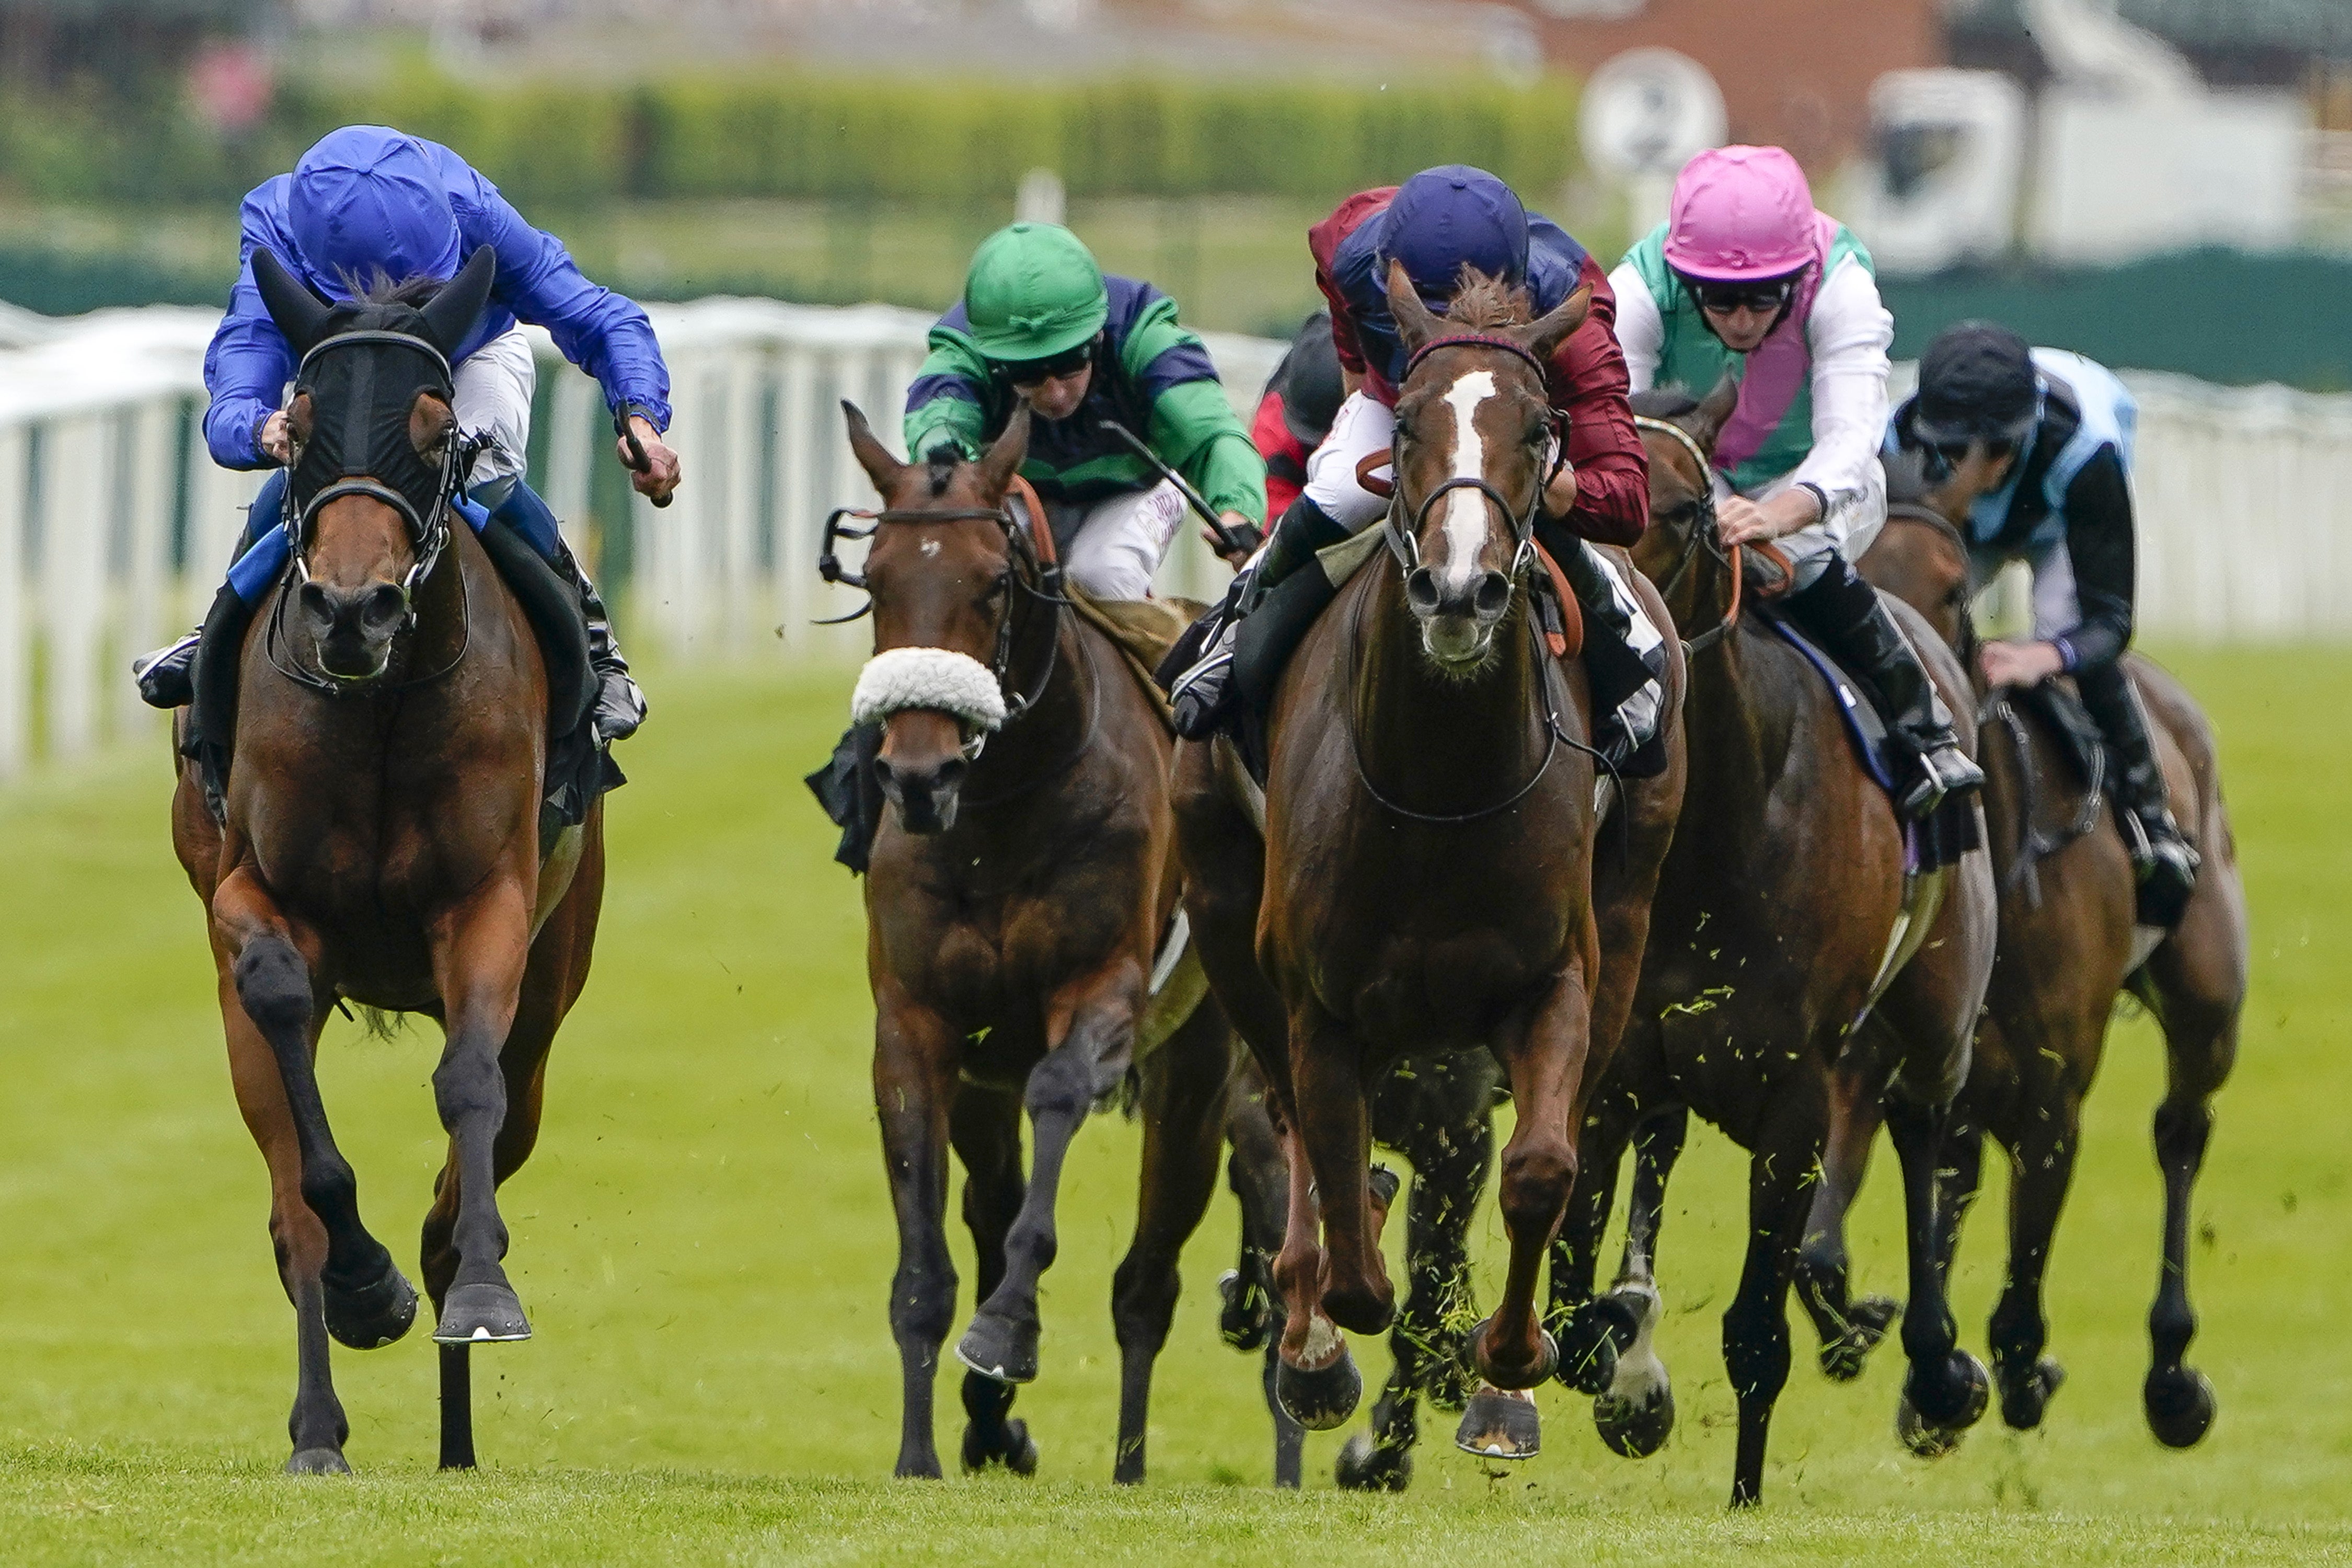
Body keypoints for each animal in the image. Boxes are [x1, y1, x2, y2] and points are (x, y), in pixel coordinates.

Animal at [169, 251, 602, 1476]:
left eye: (436, 423)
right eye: (304, 420)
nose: (353, 611)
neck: (379, 707)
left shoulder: (490, 904)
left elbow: (469, 1088)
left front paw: (484, 1289)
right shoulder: (249, 898)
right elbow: (310, 1168)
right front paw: (370, 1289)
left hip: (554, 992)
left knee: (491, 1126)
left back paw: (457, 1430)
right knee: (291, 1207)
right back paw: (321, 1428)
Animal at [837, 404, 1289, 1485]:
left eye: (991, 584)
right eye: (876, 580)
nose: (919, 774)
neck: (1002, 811)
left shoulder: (1102, 990)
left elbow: (1057, 1113)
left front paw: (1008, 1332)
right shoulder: (918, 1024)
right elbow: (929, 1261)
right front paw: (923, 1451)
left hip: (1197, 1067)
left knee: (1148, 1282)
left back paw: (1128, 1464)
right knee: (994, 1206)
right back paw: (991, 1426)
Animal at [1176, 263, 1693, 1467]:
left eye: (1542, 427)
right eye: (1409, 420)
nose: (1461, 592)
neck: (1441, 792)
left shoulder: (1555, 980)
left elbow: (1541, 1169)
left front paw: (1506, 1370)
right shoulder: (1319, 998)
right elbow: (1339, 1194)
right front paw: (1324, 1339)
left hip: (1631, 909)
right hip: (1225, 908)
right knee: (1297, 1129)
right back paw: (1312, 1332)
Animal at [1543, 383, 2004, 1504]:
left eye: (1685, 512)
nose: (1613, 638)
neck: (1719, 828)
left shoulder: (1797, 1092)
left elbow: (1756, 1331)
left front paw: (1746, 1494)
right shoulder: (1614, 1065)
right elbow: (1575, 1292)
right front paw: (1627, 1367)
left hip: (1934, 1017)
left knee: (1926, 1131)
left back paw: (1937, 1366)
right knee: (1664, 1153)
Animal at [1863, 463, 2249, 1448]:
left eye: (1952, 587)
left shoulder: (2055, 1083)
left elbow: (2026, 1261)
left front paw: (2018, 1364)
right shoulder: (1926, 1053)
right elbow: (1934, 1167)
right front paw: (1935, 1370)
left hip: (2208, 999)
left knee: (2181, 1129)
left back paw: (2171, 1371)